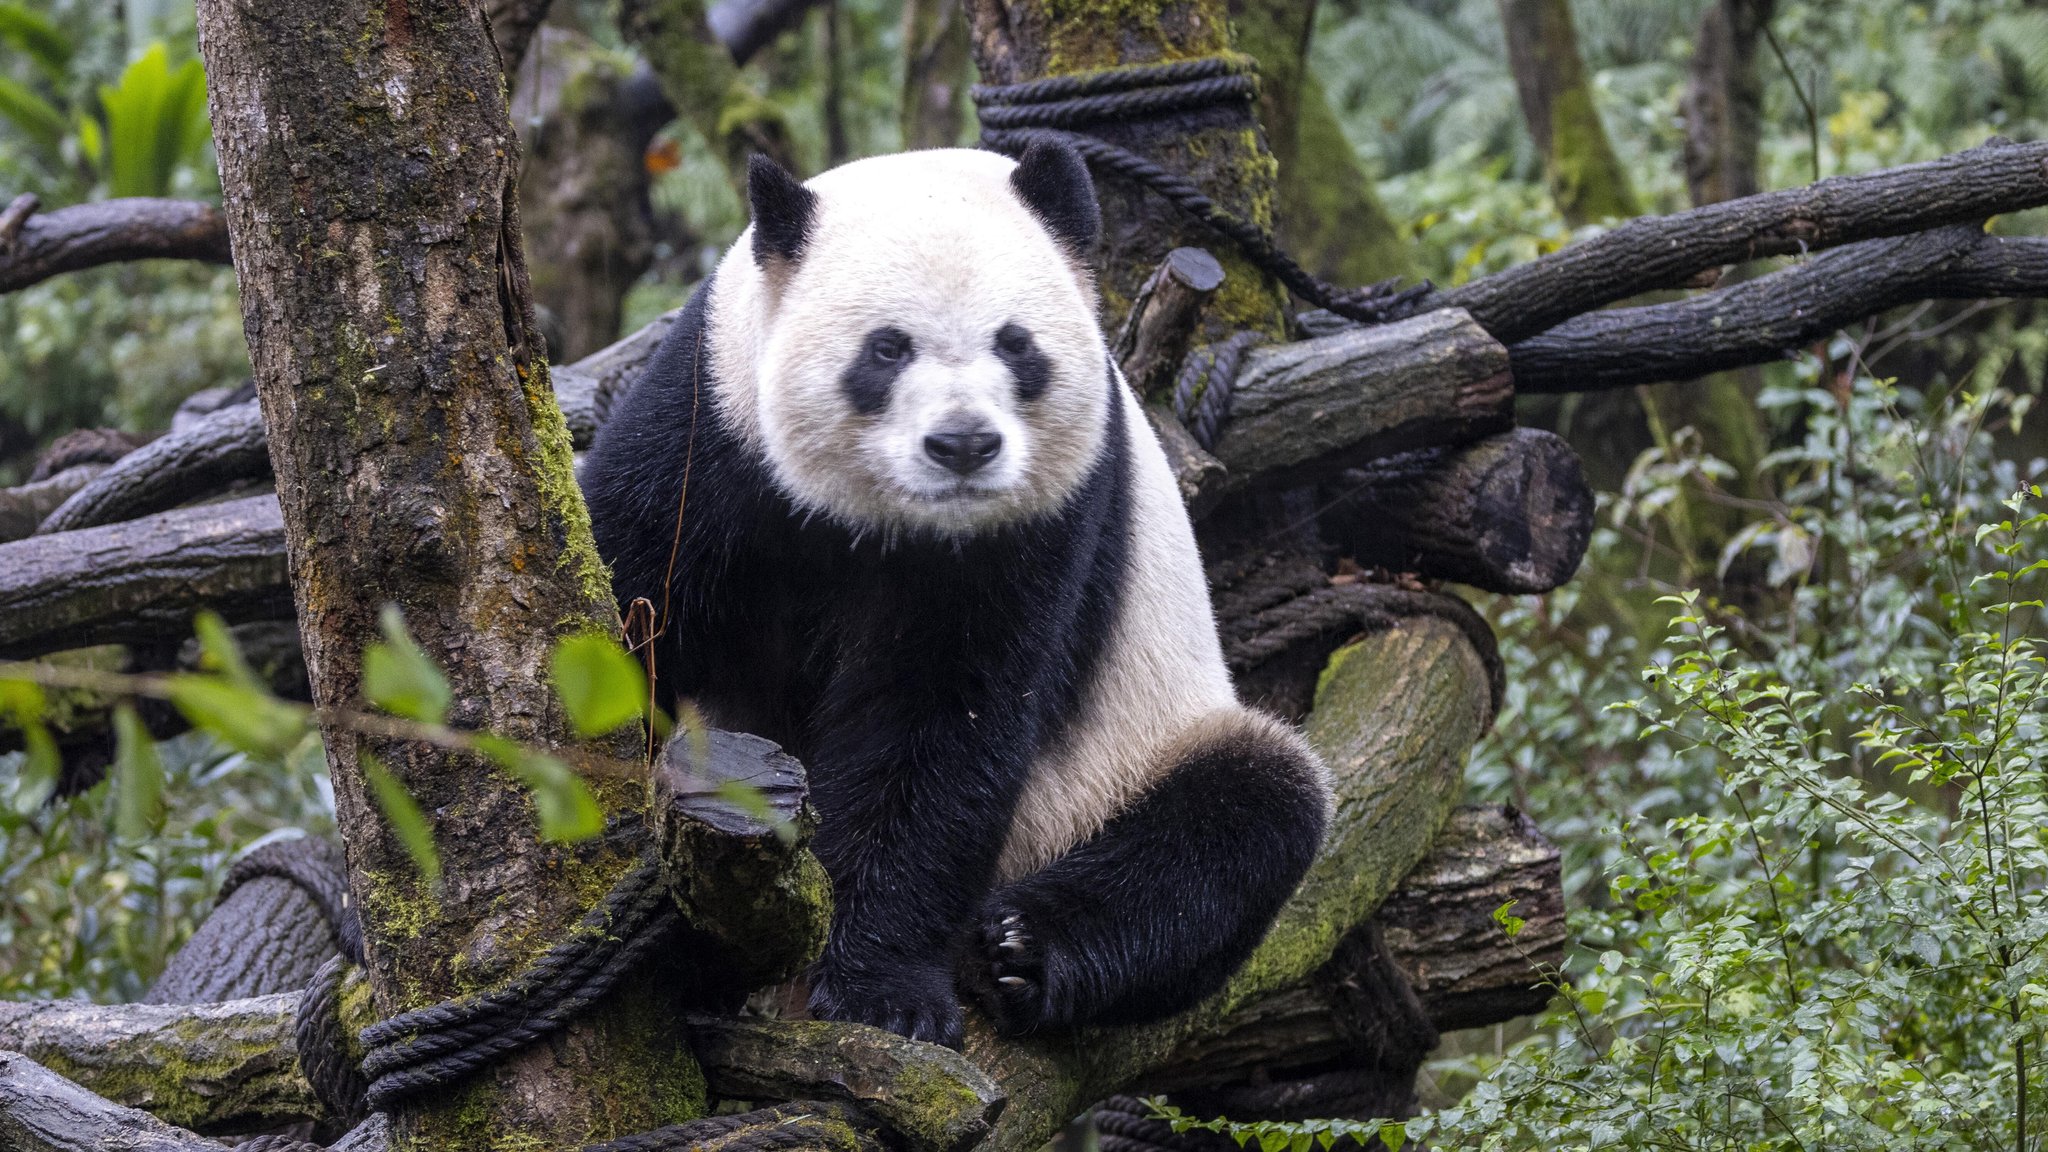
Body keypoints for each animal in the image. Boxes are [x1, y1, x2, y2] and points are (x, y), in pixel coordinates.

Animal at [581, 141, 1331, 1048]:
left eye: (1015, 345)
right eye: (887, 349)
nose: (963, 445)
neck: (885, 519)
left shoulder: (1036, 522)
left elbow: (940, 723)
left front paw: (880, 990)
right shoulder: (710, 425)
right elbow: (628, 587)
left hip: (1128, 757)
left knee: (1244, 817)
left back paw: (1018, 950)